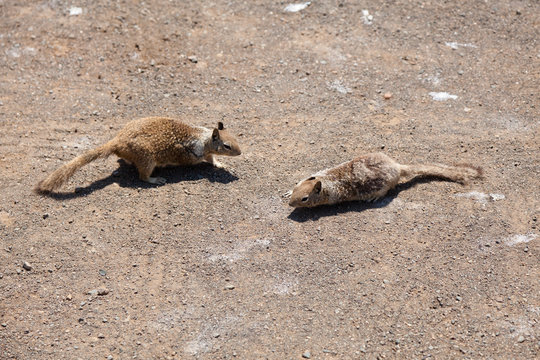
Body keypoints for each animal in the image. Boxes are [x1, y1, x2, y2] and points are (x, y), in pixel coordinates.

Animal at [34, 116, 242, 193]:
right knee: (142, 176)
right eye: (227, 146)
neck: (204, 138)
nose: (240, 152)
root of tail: (117, 141)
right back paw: (155, 180)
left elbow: (212, 159)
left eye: (236, 138)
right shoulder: (194, 154)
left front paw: (220, 164)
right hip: (147, 160)